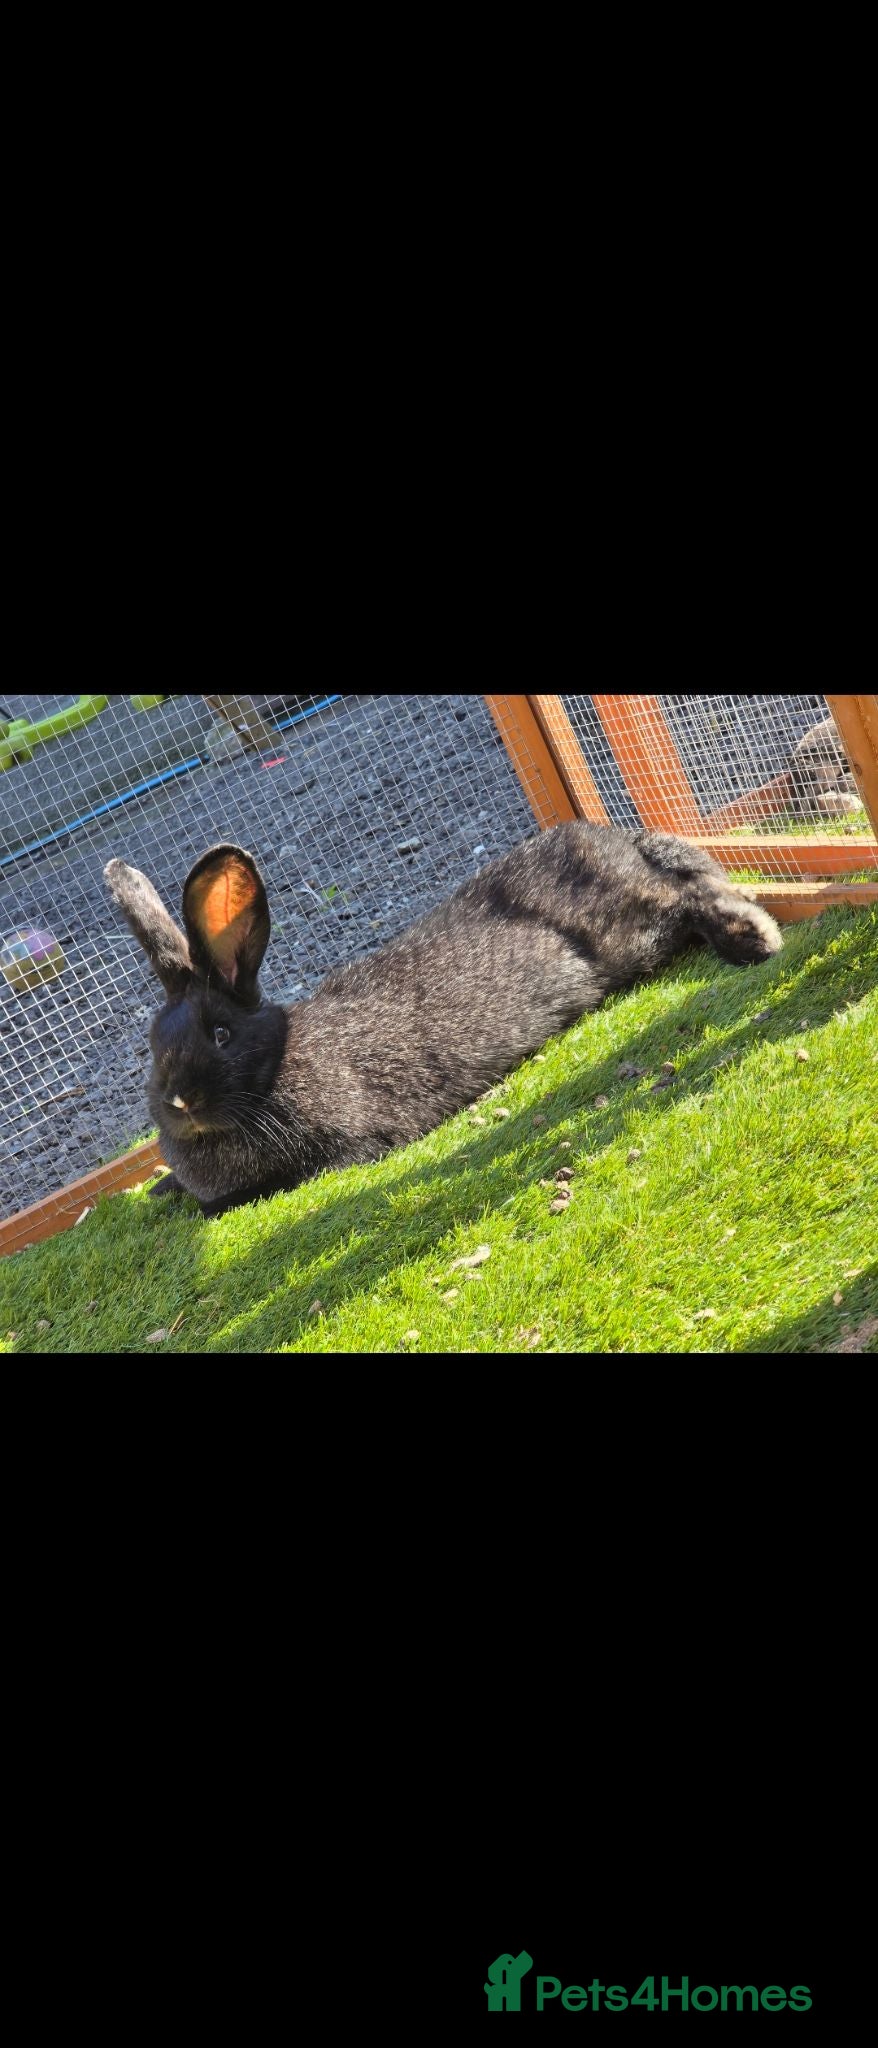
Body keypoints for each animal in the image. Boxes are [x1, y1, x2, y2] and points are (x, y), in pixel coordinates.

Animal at [103, 824, 783, 1217]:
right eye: (153, 1048)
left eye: (220, 1035)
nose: (180, 1103)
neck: (274, 1066)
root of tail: (618, 839)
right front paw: (163, 1189)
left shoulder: (350, 1147)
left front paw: (195, 1202)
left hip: (629, 925)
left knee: (687, 898)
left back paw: (754, 938)